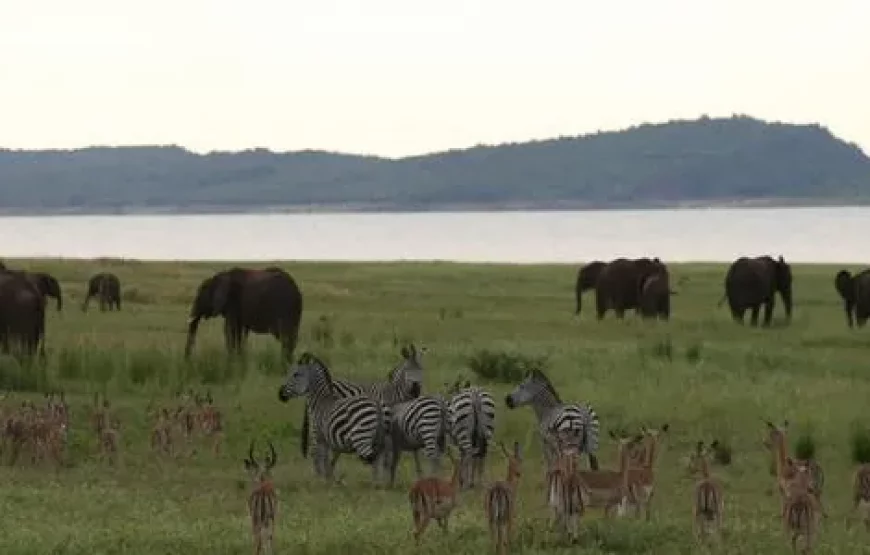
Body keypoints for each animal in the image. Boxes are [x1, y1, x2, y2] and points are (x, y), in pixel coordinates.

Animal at [300, 344, 426, 478]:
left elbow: (414, 449)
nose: (416, 389)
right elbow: (388, 454)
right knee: (316, 449)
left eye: (421, 369)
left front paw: (419, 473)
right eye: (407, 370)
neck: (394, 393)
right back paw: (320, 475)